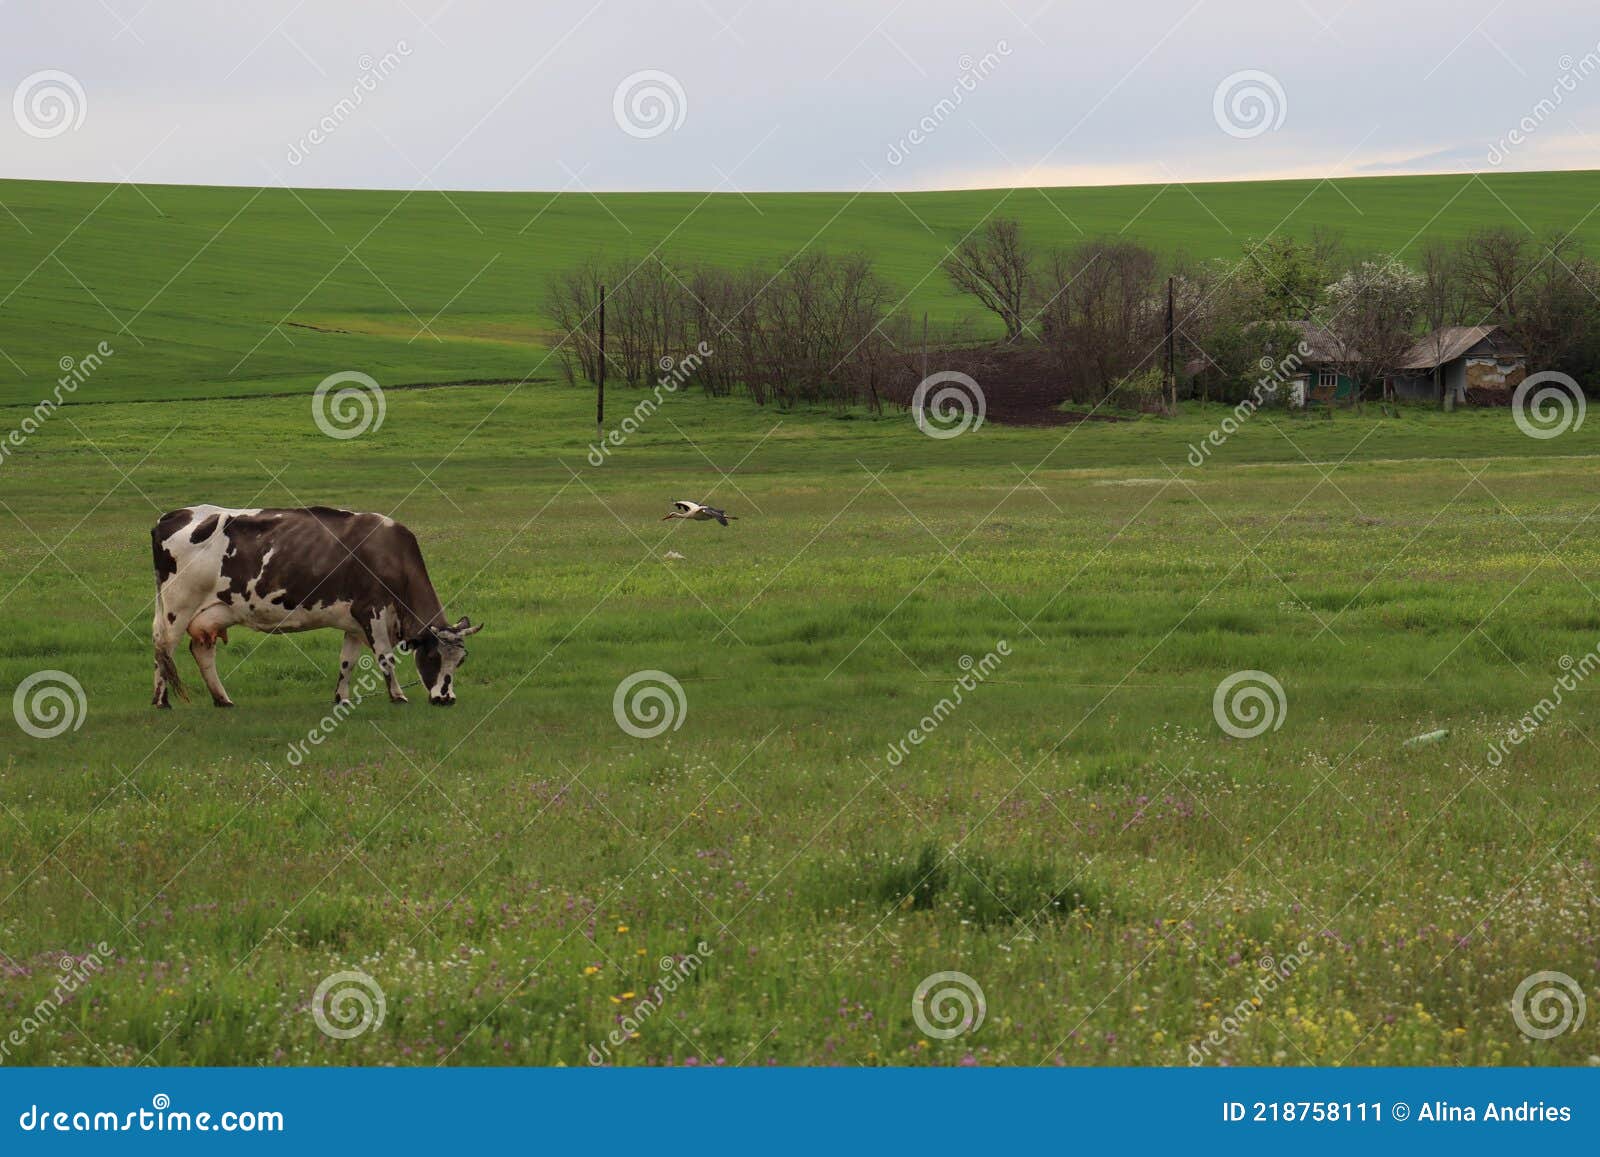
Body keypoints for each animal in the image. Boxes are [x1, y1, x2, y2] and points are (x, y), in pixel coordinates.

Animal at [150, 505, 480, 709]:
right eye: (433, 657)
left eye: (461, 660)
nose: (446, 698)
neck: (389, 556)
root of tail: (172, 515)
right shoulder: (372, 612)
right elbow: (385, 659)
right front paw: (398, 695)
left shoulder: (354, 623)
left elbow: (347, 662)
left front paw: (341, 698)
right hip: (178, 607)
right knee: (165, 648)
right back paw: (162, 701)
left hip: (211, 613)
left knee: (200, 651)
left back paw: (222, 699)